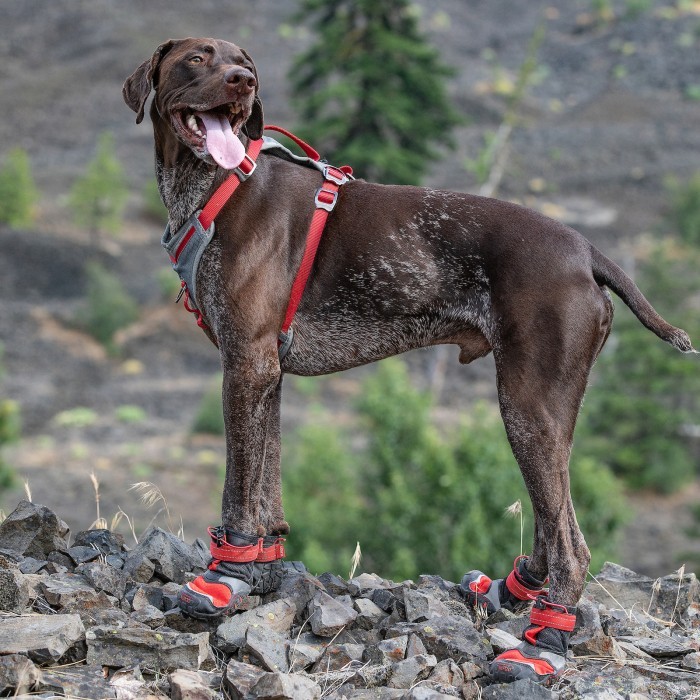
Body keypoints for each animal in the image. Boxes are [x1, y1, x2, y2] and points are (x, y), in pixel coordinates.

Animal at [123, 39, 692, 684]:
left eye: (243, 62)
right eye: (197, 58)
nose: (242, 81)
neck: (217, 184)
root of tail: (586, 251)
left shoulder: (246, 366)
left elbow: (236, 487)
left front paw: (225, 576)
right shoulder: (265, 373)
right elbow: (265, 484)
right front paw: (260, 567)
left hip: (529, 407)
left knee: (573, 542)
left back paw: (545, 639)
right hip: (540, 410)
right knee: (555, 518)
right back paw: (517, 589)